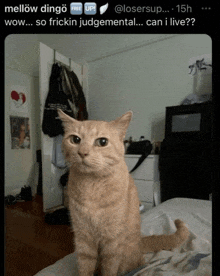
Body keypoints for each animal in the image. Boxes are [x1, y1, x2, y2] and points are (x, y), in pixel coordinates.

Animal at [57, 110, 188, 276]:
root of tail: (139, 242)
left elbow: (109, 268)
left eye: (102, 142)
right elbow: (84, 267)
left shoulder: (112, 241)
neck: (92, 186)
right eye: (75, 139)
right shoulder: (83, 238)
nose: (82, 153)